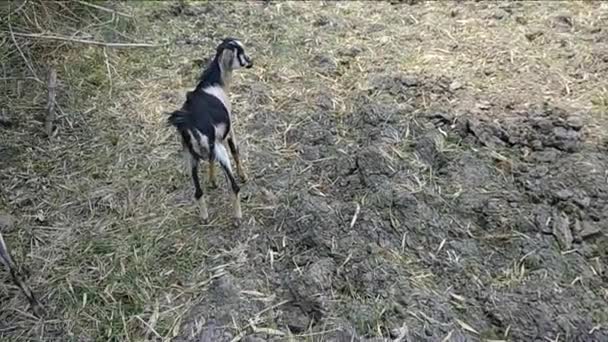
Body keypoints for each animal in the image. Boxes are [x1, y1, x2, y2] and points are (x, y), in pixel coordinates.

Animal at [167, 38, 253, 224]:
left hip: (190, 157)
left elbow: (210, 159)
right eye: (241, 52)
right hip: (220, 151)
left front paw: (212, 181)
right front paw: (243, 175)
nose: (251, 61)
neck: (214, 84)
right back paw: (237, 217)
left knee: (198, 192)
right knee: (234, 187)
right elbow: (235, 150)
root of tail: (190, 122)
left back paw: (204, 217)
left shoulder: (213, 143)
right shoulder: (229, 131)